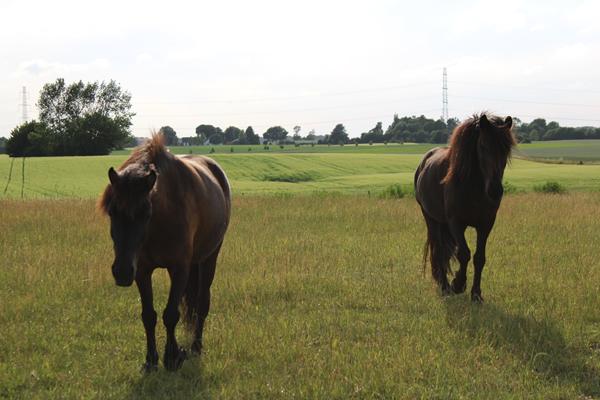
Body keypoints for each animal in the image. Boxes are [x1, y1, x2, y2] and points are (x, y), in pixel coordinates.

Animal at [98, 134, 230, 372]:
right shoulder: (142, 271)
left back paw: (196, 347)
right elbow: (149, 315)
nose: (122, 272)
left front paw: (172, 357)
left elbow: (171, 314)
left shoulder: (179, 268)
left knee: (203, 302)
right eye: (112, 211)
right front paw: (151, 359)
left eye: (146, 213)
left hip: (210, 257)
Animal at [412, 111, 516, 302]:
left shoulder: (486, 224)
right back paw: (445, 286)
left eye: (506, 149)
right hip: (431, 219)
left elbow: (479, 257)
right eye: (483, 146)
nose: (495, 190)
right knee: (439, 250)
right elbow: (464, 254)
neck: (473, 187)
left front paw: (476, 293)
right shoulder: (456, 223)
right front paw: (458, 284)